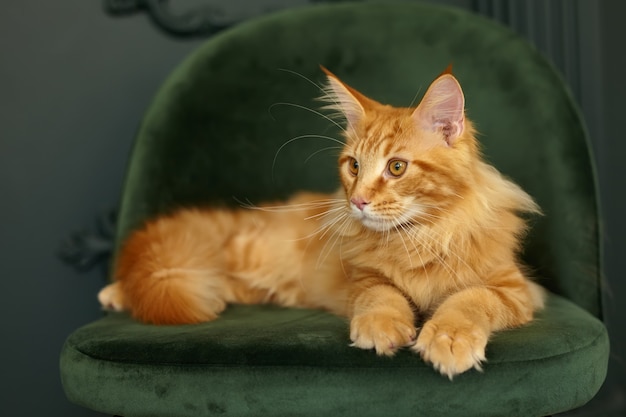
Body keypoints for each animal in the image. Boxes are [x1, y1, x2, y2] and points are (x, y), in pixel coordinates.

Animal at [97, 65, 540, 376]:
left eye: (397, 167)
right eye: (354, 166)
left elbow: (469, 300)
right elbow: (383, 297)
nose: (358, 201)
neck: (418, 236)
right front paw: (381, 327)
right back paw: (115, 293)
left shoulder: (515, 289)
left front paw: (449, 338)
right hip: (244, 252)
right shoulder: (363, 280)